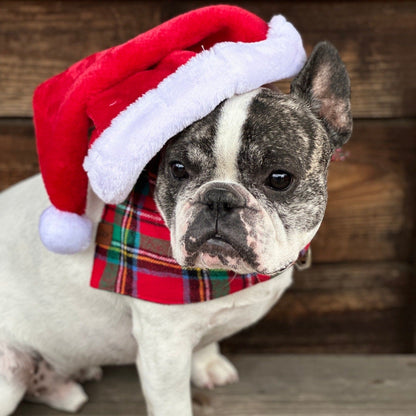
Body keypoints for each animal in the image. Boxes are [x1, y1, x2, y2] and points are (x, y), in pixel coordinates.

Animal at [0, 43, 352, 416]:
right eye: (178, 169)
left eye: (280, 178)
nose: (219, 197)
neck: (224, 275)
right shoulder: (164, 349)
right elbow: (172, 401)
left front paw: (207, 364)